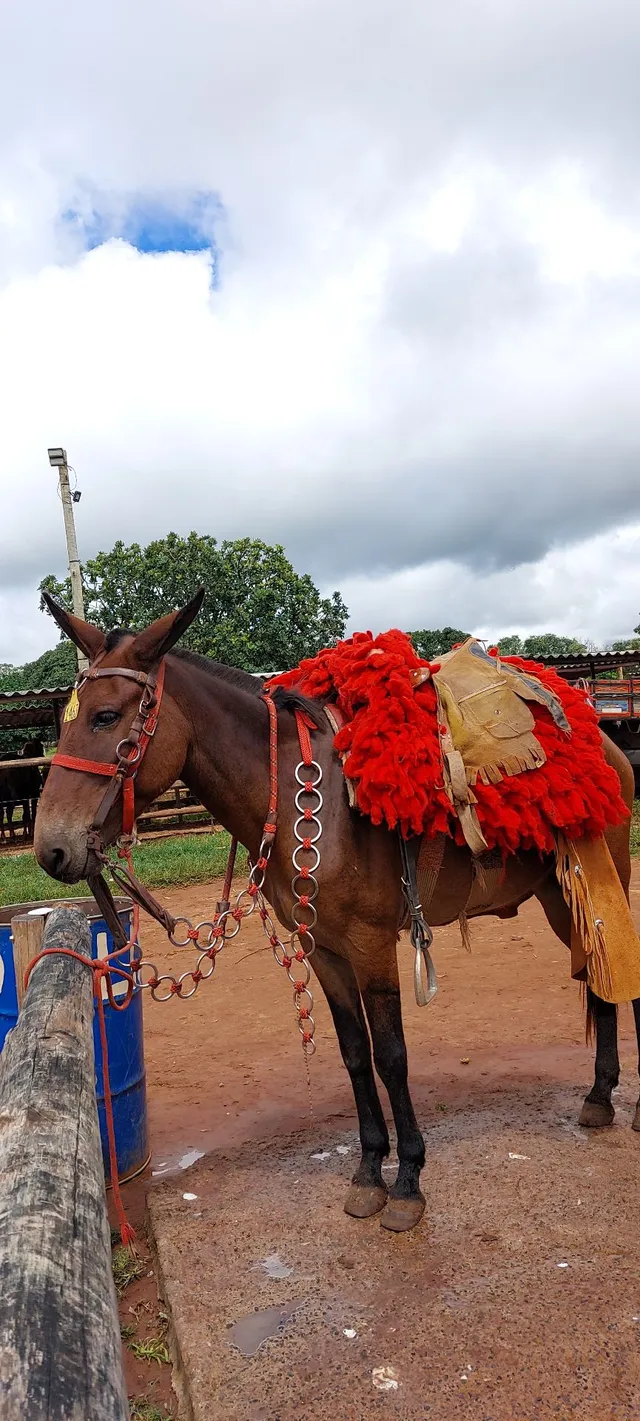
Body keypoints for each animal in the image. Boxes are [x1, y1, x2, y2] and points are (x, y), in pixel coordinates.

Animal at [33, 591, 640, 1233]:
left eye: (105, 717)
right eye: (65, 721)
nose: (52, 849)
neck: (307, 798)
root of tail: (604, 743)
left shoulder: (371, 945)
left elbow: (391, 1057)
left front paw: (408, 1183)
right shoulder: (322, 947)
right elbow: (354, 1055)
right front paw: (370, 1171)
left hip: (602, 878)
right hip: (561, 898)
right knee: (598, 976)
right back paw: (599, 1097)